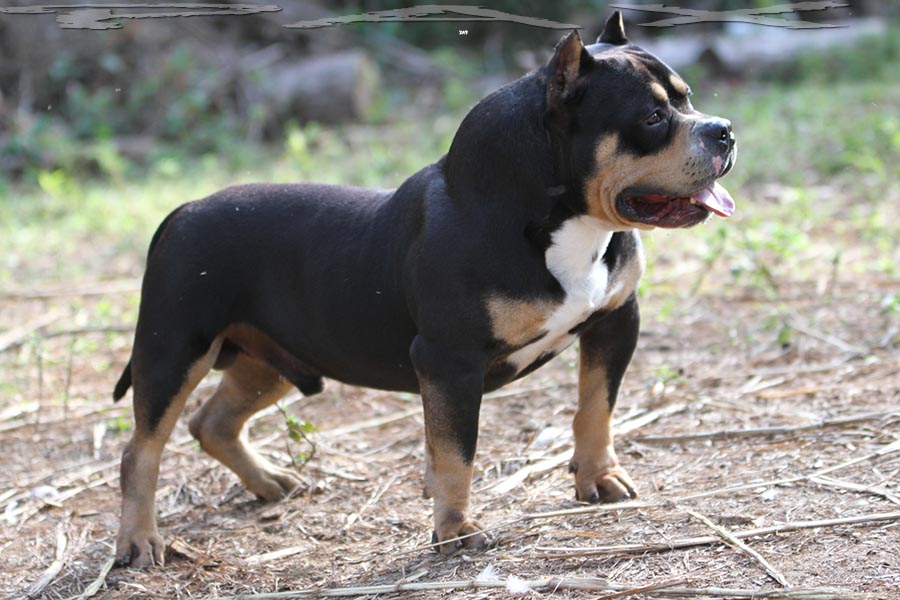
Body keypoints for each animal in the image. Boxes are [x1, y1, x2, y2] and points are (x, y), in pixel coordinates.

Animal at [112, 14, 736, 568]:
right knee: (142, 449)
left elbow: (596, 408)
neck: (560, 216)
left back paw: (268, 481)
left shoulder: (615, 319)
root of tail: (183, 211)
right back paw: (139, 542)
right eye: (652, 117)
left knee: (212, 422)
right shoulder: (448, 361)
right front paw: (456, 530)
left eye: (688, 99)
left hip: (269, 360)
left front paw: (598, 478)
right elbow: (457, 452)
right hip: (174, 352)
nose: (724, 130)